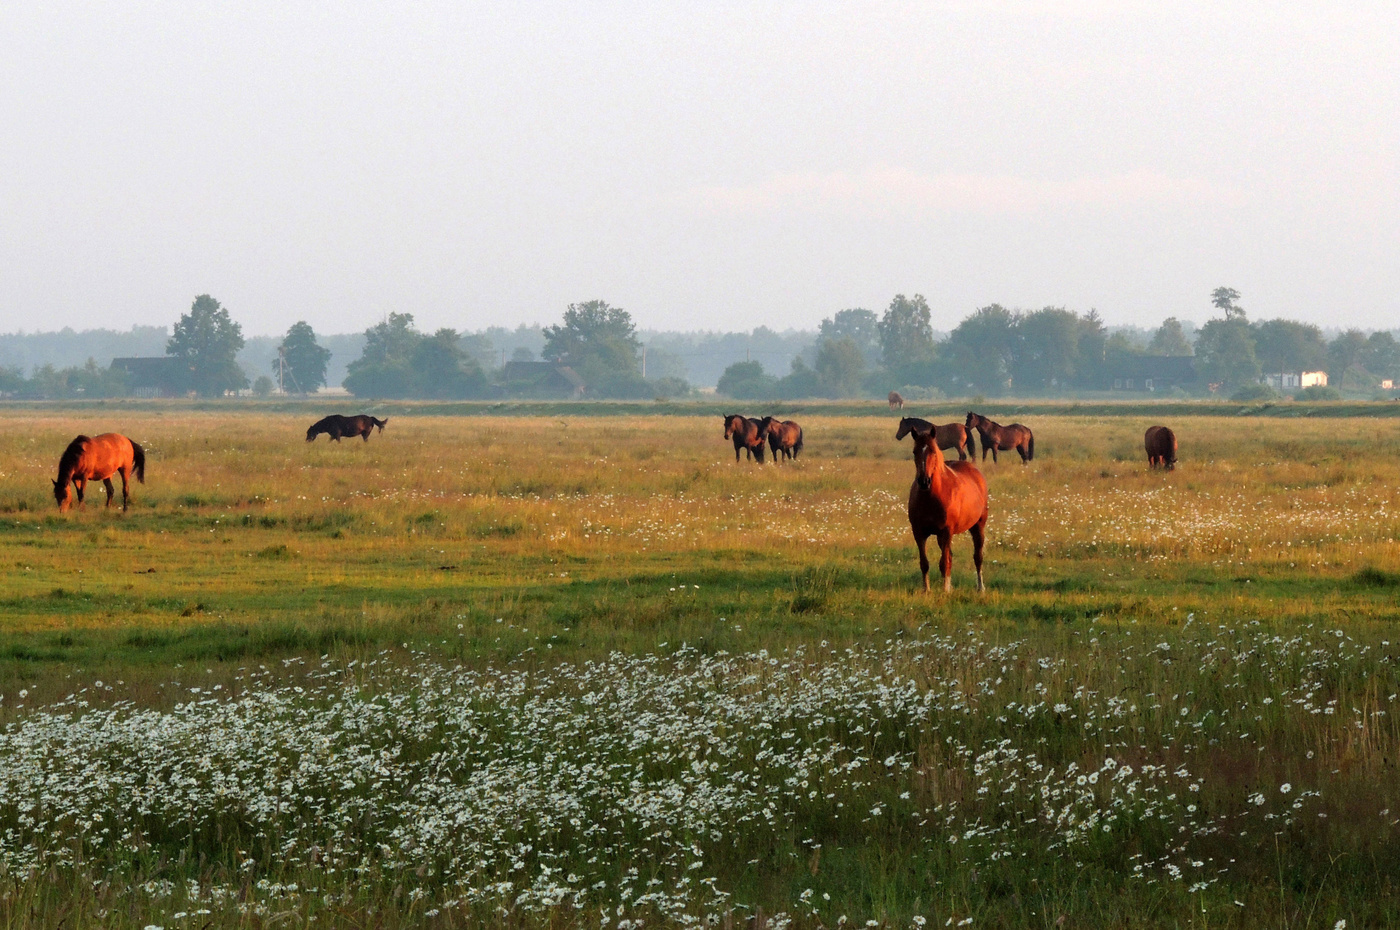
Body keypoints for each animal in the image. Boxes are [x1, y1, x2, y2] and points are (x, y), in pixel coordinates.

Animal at [901, 425, 991, 591]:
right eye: (915, 451)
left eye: (933, 451)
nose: (924, 481)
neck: (932, 497)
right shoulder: (919, 532)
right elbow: (925, 563)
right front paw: (926, 590)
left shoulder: (947, 531)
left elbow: (944, 563)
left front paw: (945, 590)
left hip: (978, 526)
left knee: (978, 557)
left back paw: (980, 587)